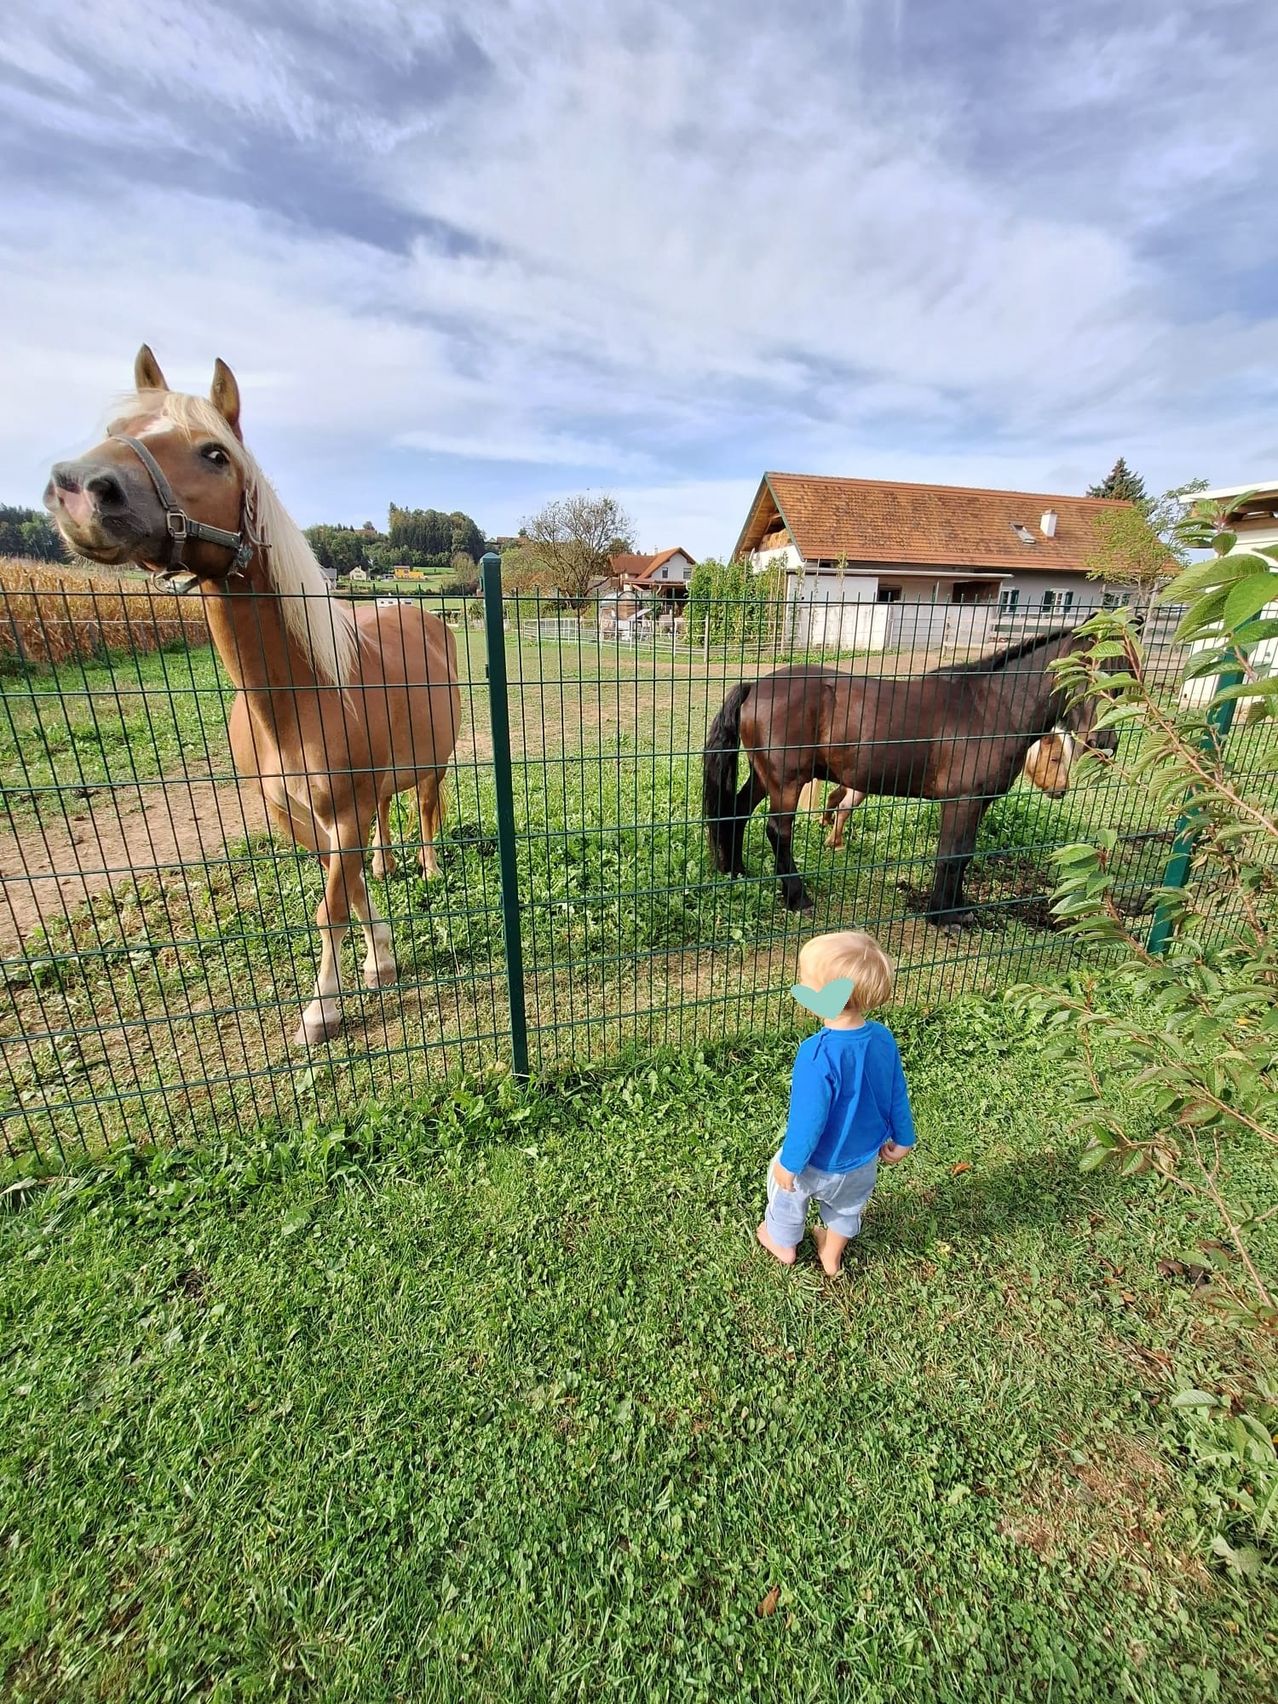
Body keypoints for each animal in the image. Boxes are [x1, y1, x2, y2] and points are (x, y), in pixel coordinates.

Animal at [45, 346, 461, 1048]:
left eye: (215, 452)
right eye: (116, 429)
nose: (79, 488)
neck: (298, 695)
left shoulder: (343, 814)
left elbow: (329, 907)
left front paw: (322, 1009)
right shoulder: (296, 815)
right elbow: (346, 891)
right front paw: (379, 958)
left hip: (433, 762)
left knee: (428, 809)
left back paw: (429, 868)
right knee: (385, 824)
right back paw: (389, 866)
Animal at [819, 730, 1078, 850]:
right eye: (1055, 758)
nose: (1062, 790)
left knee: (834, 799)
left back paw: (825, 824)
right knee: (844, 807)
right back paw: (835, 842)